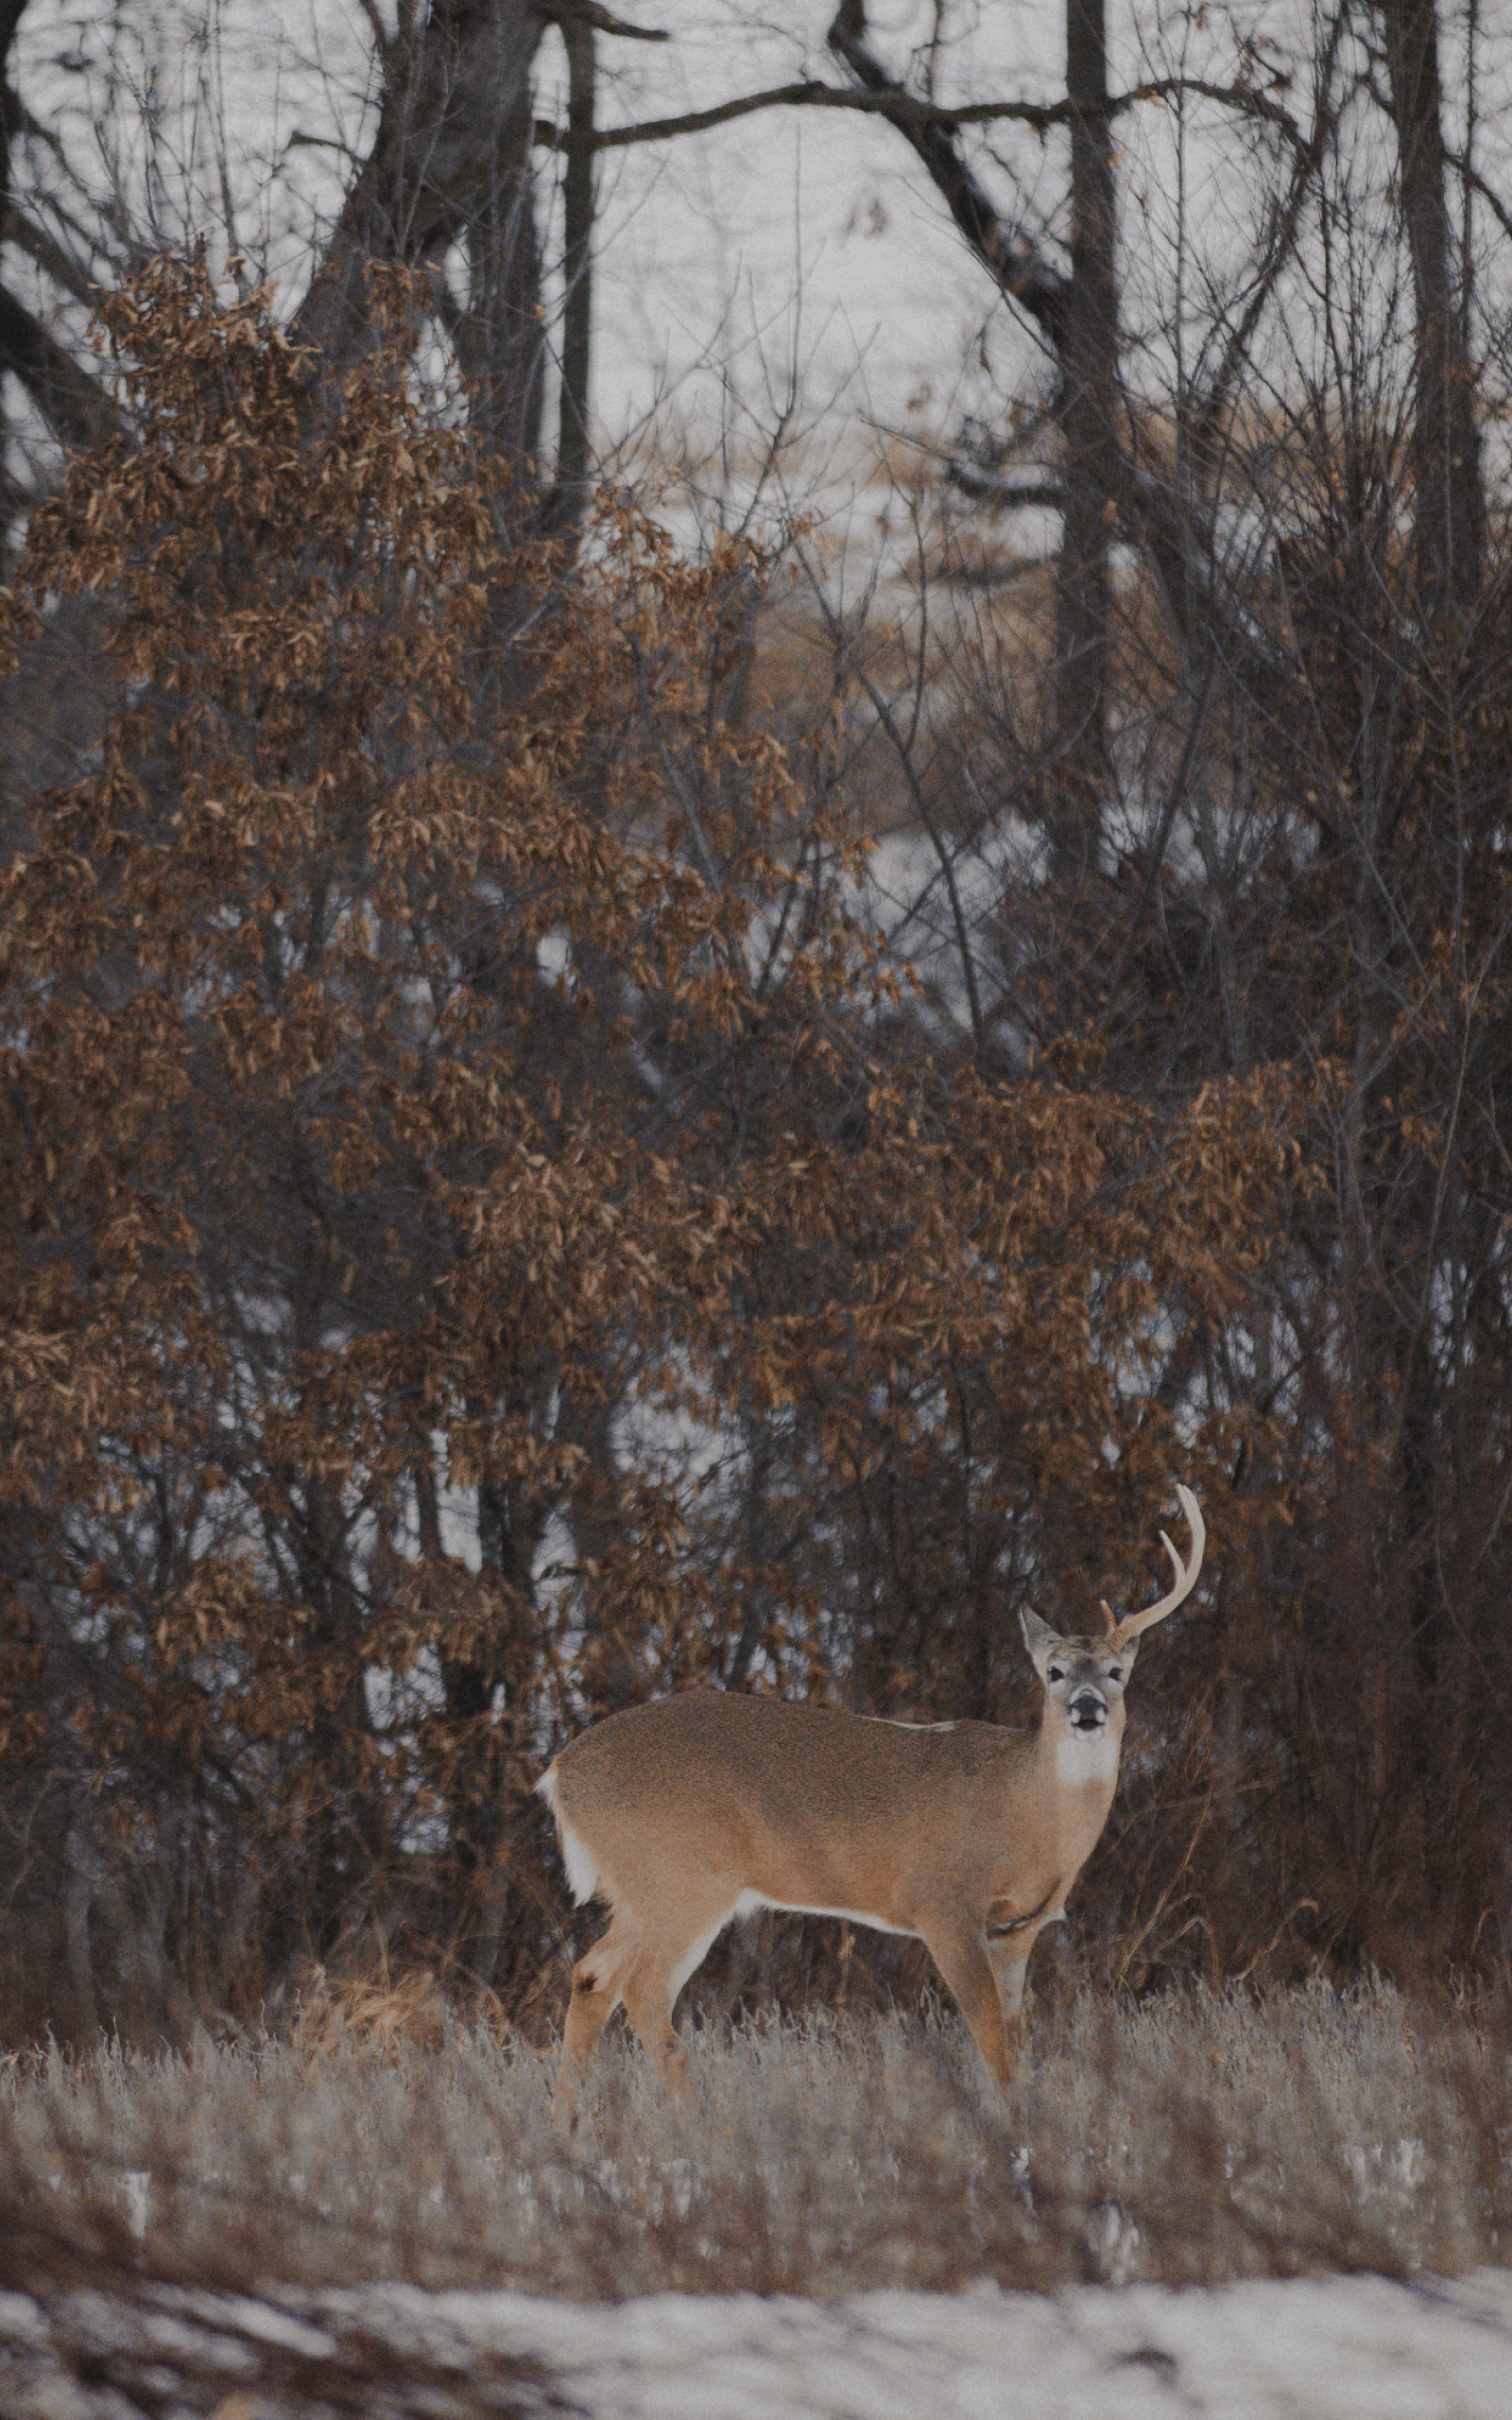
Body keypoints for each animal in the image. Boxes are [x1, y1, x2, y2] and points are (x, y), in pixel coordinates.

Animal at [536, 1487, 1204, 2115]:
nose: (1087, 1708)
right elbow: (990, 2040)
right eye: (1055, 1672)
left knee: (592, 1975)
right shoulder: (942, 1904)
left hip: (640, 1890)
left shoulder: (1018, 1929)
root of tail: (560, 1772)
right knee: (643, 1992)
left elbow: (1016, 2043)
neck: (1026, 1814)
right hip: (682, 1878)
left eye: (1117, 1672)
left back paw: (569, 2128)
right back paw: (698, 2124)